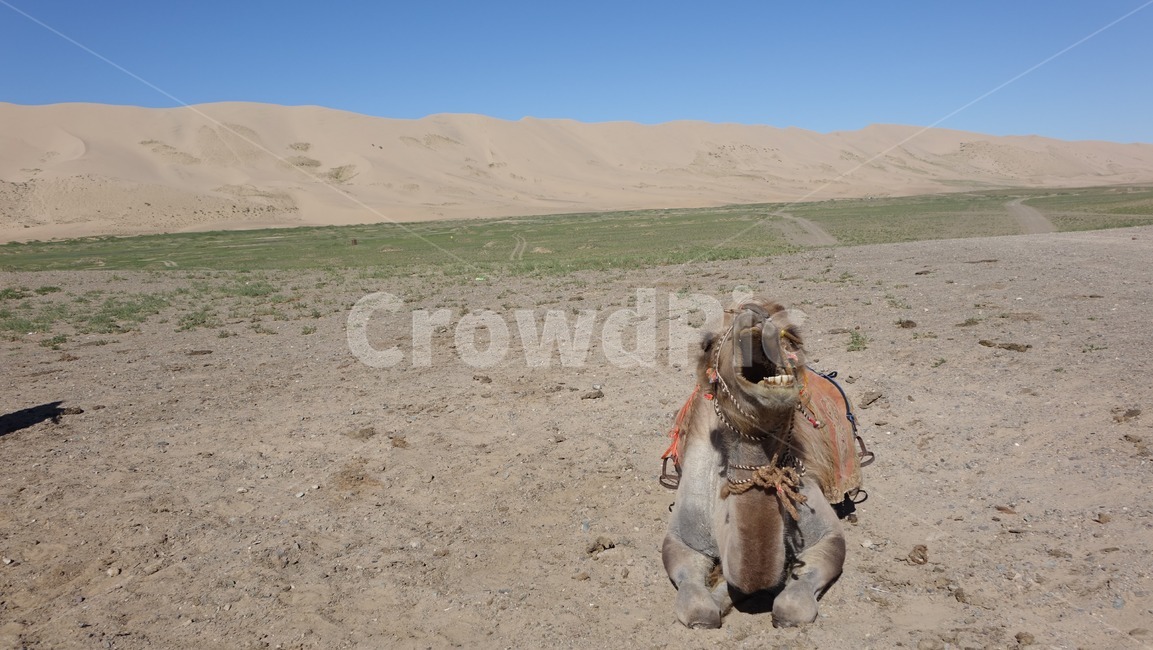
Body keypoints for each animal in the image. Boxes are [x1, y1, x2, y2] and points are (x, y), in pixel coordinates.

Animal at [660, 298, 870, 628]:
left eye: (793, 336)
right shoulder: (682, 535)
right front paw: (717, 600)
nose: (754, 314)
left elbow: (793, 605)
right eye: (707, 344)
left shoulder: (823, 527)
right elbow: (697, 608)